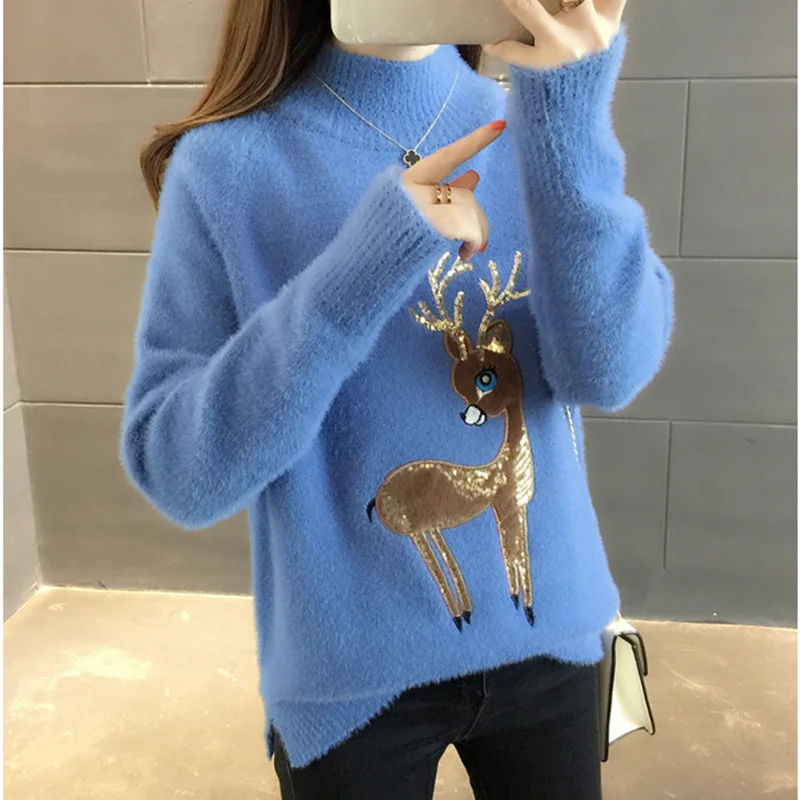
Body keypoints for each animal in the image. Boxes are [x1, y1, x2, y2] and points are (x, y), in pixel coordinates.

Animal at [366, 252, 535, 631]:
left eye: (486, 378)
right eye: (458, 384)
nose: (467, 416)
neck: (508, 464)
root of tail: (375, 498)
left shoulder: (519, 507)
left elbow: (520, 555)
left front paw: (526, 607)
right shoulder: (503, 506)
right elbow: (512, 556)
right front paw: (519, 603)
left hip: (425, 524)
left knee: (438, 552)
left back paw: (467, 611)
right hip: (412, 525)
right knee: (432, 559)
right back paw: (460, 615)